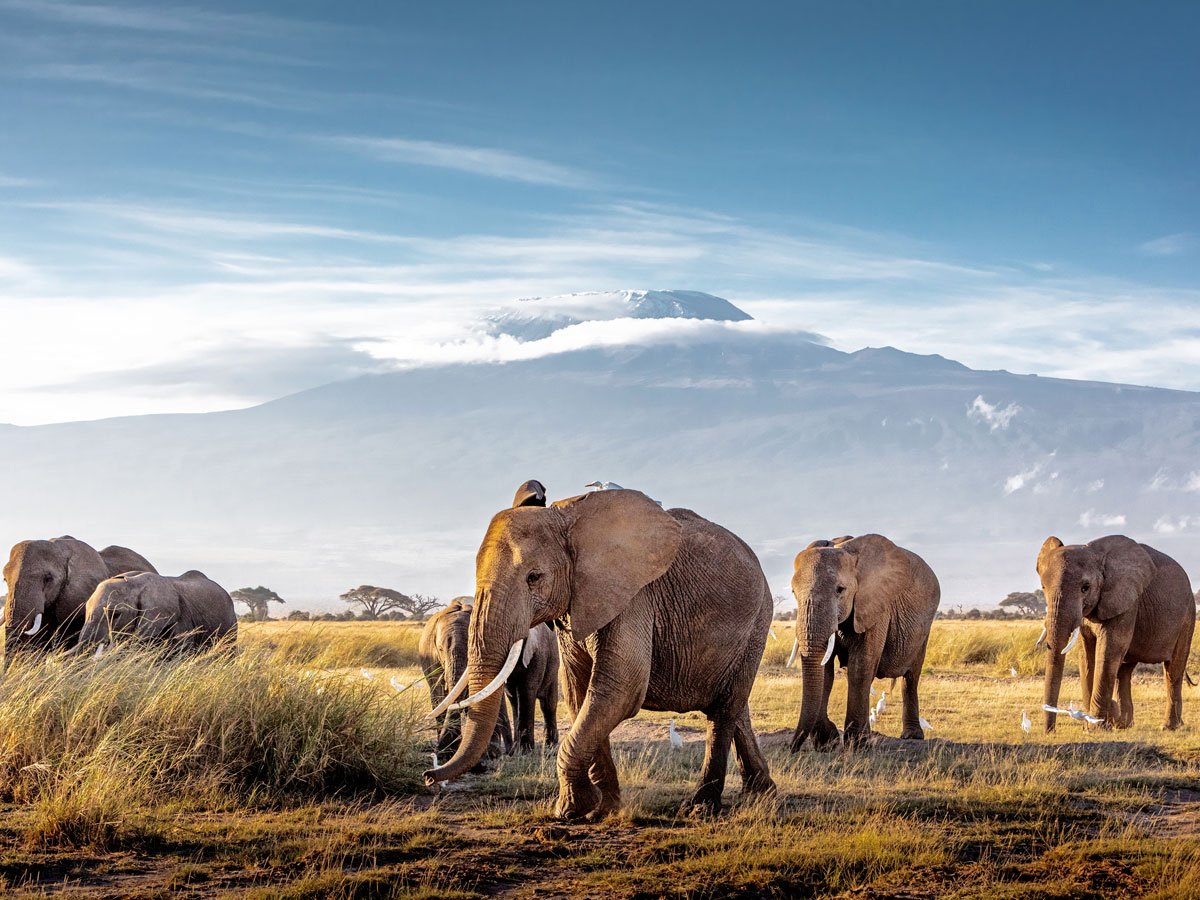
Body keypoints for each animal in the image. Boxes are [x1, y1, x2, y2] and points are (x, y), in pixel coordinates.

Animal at [790, 534, 940, 750]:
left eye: (840, 590)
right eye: (793, 592)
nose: (792, 748)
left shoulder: (876, 606)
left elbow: (861, 665)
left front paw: (858, 744)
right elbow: (826, 672)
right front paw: (828, 743)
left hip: (924, 628)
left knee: (911, 677)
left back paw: (911, 736)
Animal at [1037, 534, 1196, 732]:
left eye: (1085, 588)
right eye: (1043, 587)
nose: (1049, 731)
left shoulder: (1127, 602)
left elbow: (1109, 649)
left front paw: (1095, 728)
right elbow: (1086, 655)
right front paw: (1095, 724)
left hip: (1187, 616)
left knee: (1173, 670)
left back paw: (1168, 727)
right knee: (1124, 671)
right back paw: (1123, 724)